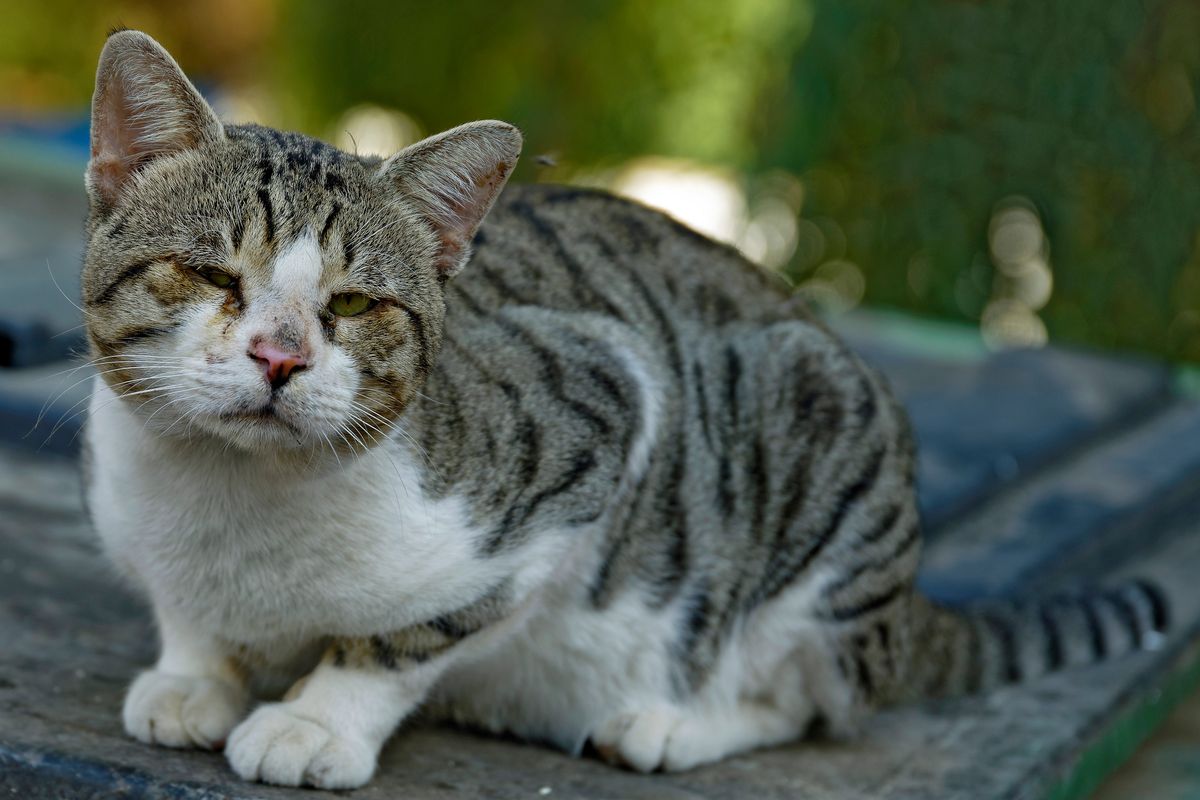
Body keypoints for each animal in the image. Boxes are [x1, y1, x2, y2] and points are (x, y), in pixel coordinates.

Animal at [79, 28, 1166, 791]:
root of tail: (907, 600)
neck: (231, 501)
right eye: (211, 273)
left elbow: (408, 636)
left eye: (352, 305)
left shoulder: (602, 413)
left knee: (818, 697)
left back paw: (674, 719)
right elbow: (189, 615)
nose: (280, 355)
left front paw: (317, 718)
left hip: (821, 459)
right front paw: (195, 672)